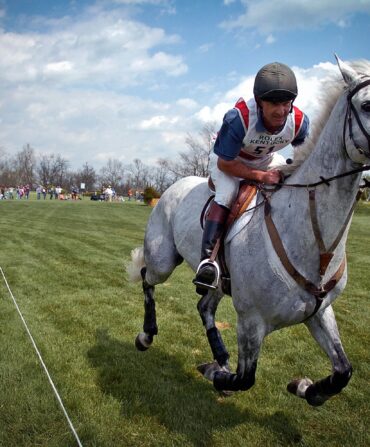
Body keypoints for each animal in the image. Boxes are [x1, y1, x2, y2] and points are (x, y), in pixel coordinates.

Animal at [128, 56, 370, 406]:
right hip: (164, 259)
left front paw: (304, 387)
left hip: (217, 281)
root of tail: (174, 186)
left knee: (204, 307)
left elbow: (343, 371)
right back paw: (147, 335)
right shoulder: (252, 321)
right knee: (148, 276)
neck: (316, 242)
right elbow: (246, 378)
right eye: (367, 105)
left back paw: (220, 356)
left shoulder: (320, 312)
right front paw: (214, 373)